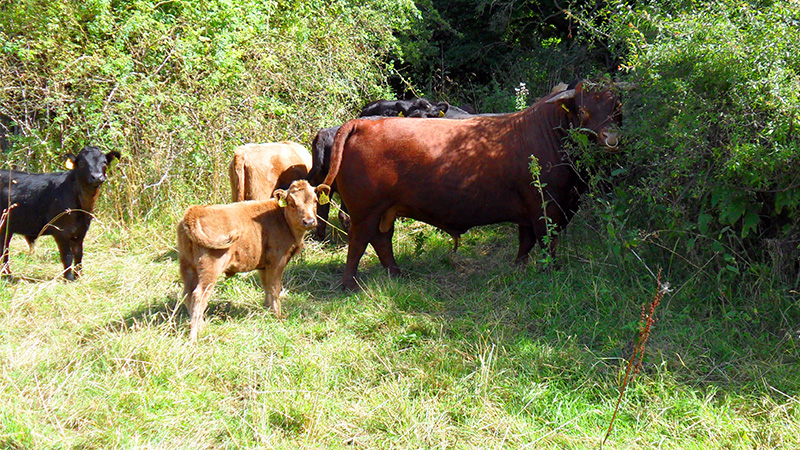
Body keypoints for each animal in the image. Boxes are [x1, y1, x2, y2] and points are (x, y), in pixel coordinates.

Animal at [1, 147, 120, 282]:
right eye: (82, 163)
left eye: (104, 162)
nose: (97, 177)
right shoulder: (60, 230)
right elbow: (67, 255)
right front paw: (69, 278)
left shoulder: (81, 230)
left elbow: (78, 253)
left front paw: (79, 275)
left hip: (6, 227)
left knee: (4, 249)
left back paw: (7, 276)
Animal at [179, 179, 332, 342]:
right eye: (291, 203)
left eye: (315, 200)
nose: (309, 221)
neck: (281, 218)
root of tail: (195, 210)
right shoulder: (277, 261)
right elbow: (275, 288)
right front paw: (278, 315)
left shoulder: (264, 265)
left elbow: (267, 287)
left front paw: (267, 309)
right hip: (210, 268)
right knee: (199, 295)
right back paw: (195, 335)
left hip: (187, 266)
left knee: (187, 294)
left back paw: (201, 325)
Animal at [324, 80, 624, 288]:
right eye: (583, 111)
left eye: (617, 108)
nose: (611, 137)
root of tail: (361, 123)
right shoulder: (545, 206)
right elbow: (546, 242)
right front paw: (550, 272)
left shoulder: (532, 210)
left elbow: (525, 242)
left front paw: (519, 269)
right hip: (365, 209)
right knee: (358, 241)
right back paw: (350, 284)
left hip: (386, 209)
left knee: (381, 239)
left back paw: (395, 273)